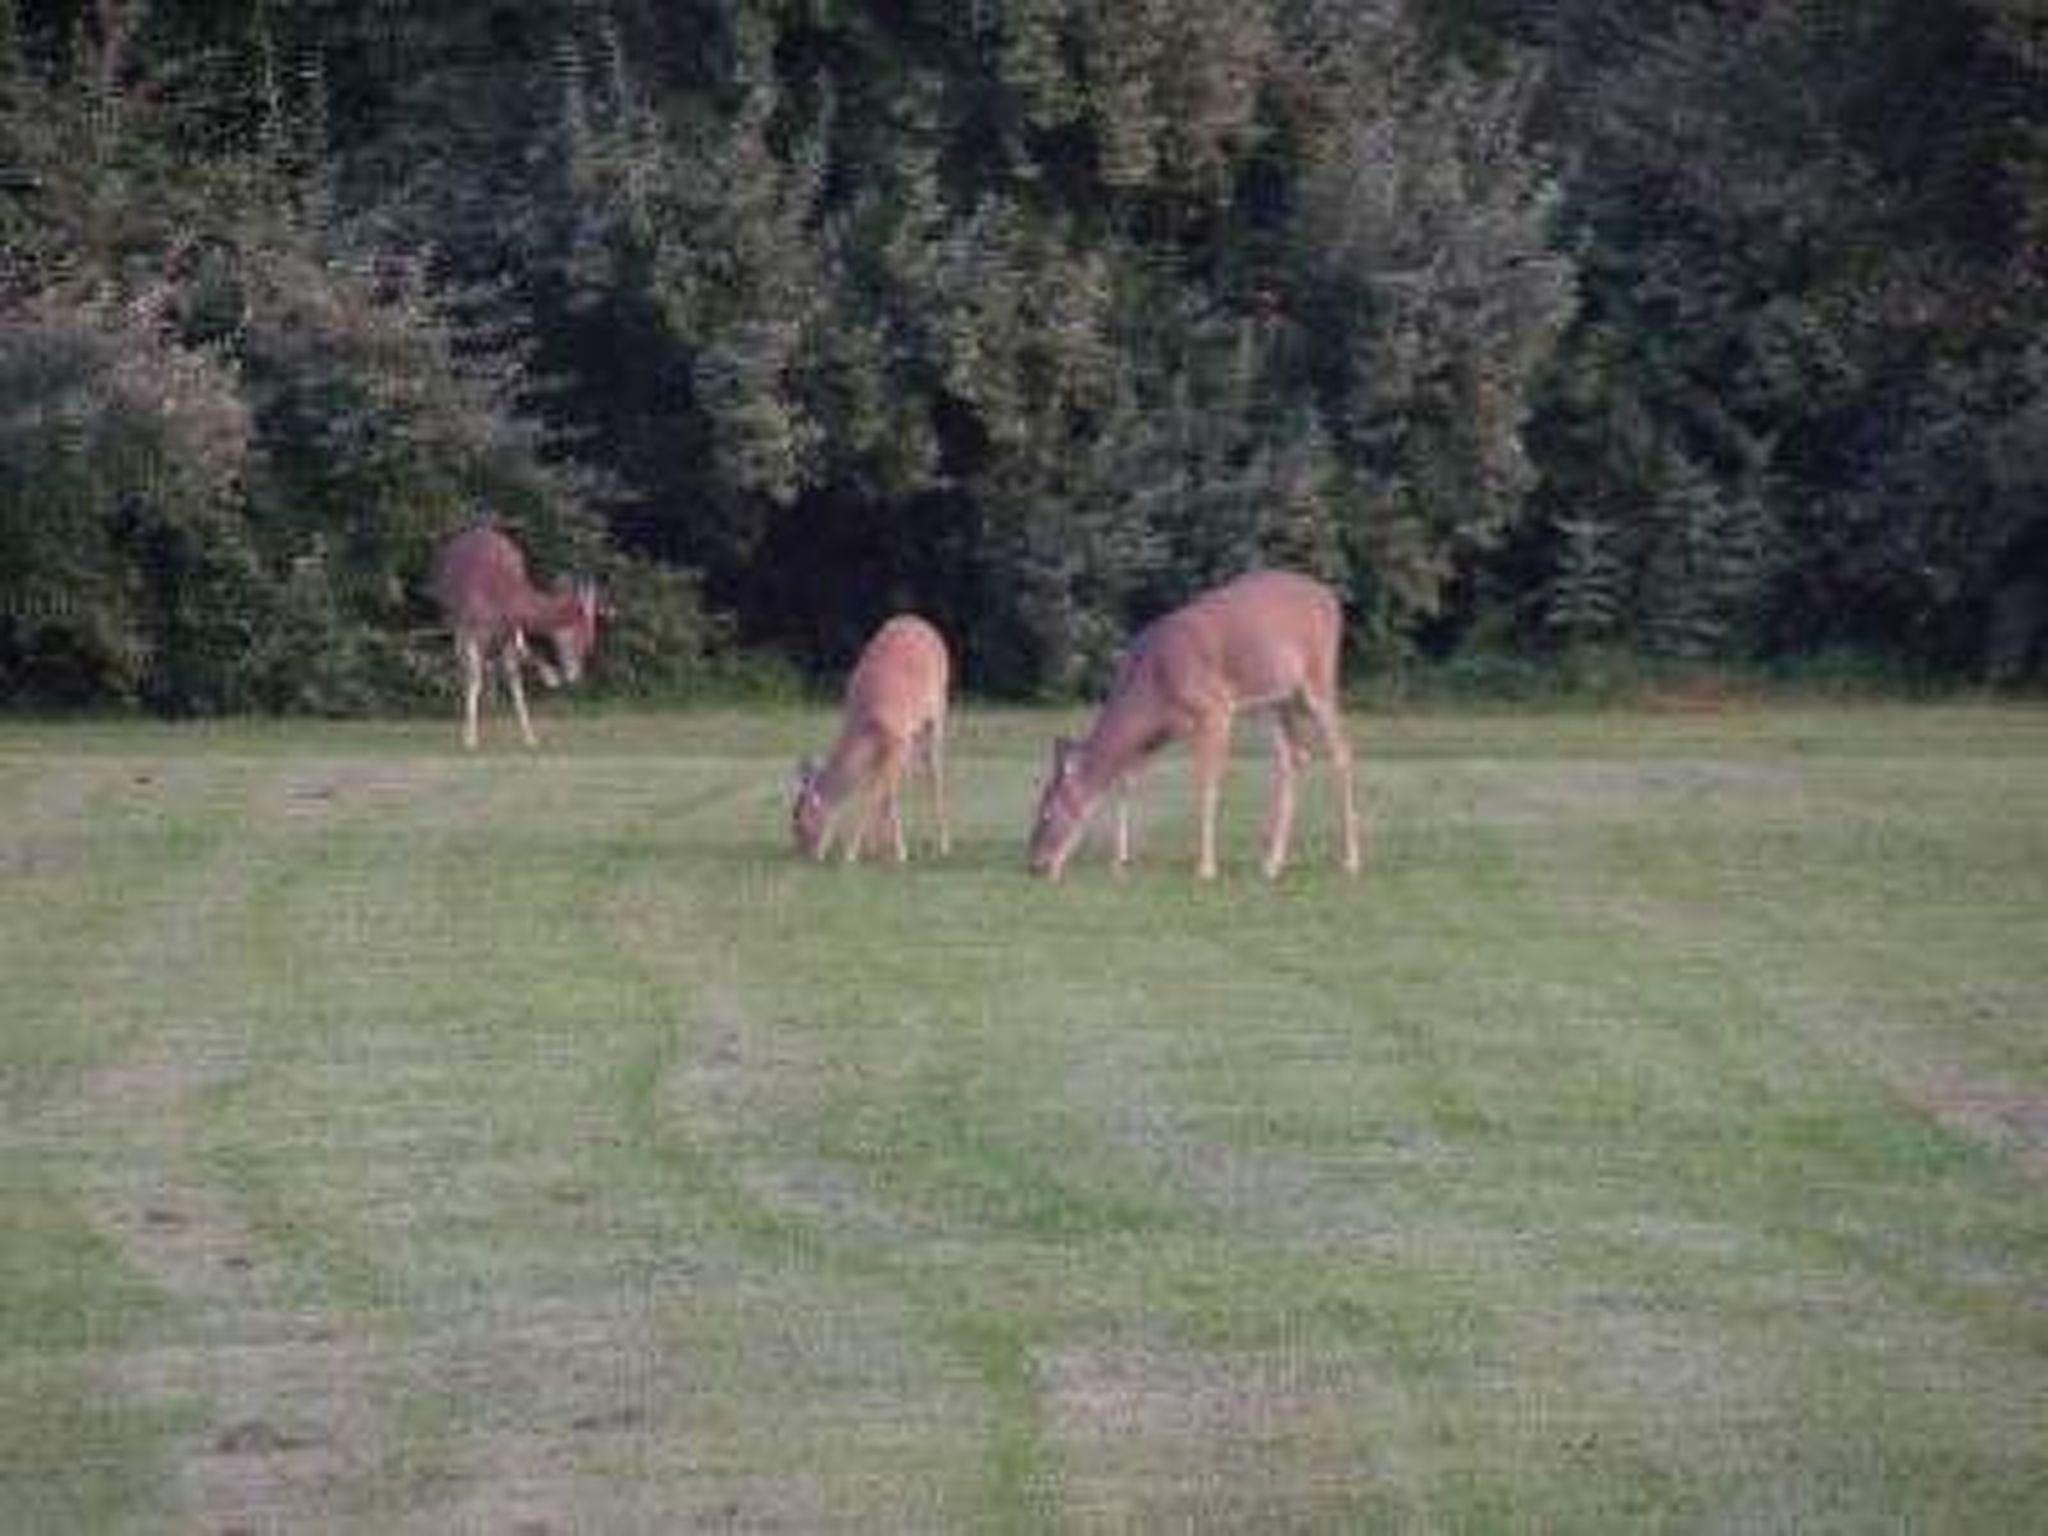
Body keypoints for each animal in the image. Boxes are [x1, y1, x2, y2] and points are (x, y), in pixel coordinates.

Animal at [430, 523, 602, 751]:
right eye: (581, 636)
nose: (575, 674)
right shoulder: (473, 630)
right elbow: (475, 677)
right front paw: (470, 738)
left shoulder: (508, 633)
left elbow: (515, 679)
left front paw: (530, 736)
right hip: (454, 620)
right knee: (465, 663)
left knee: (491, 667)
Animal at [792, 615, 952, 863]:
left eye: (798, 822)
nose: (803, 854)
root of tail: (919, 621)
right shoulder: (885, 748)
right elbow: (878, 789)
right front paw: (876, 849)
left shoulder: (896, 739)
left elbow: (877, 793)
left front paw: (855, 853)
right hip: (912, 736)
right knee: (908, 775)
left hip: (937, 711)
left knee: (934, 772)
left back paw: (943, 845)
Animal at [1028, 570, 1363, 881]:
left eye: (1046, 814)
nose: (1036, 865)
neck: (1154, 684)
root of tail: (1330, 598)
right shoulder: (1163, 730)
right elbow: (1126, 779)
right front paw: (1119, 862)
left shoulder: (1215, 710)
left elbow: (1206, 785)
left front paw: (1205, 868)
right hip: (1276, 700)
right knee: (1294, 757)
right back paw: (1271, 864)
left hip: (1319, 679)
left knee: (1342, 750)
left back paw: (1350, 861)